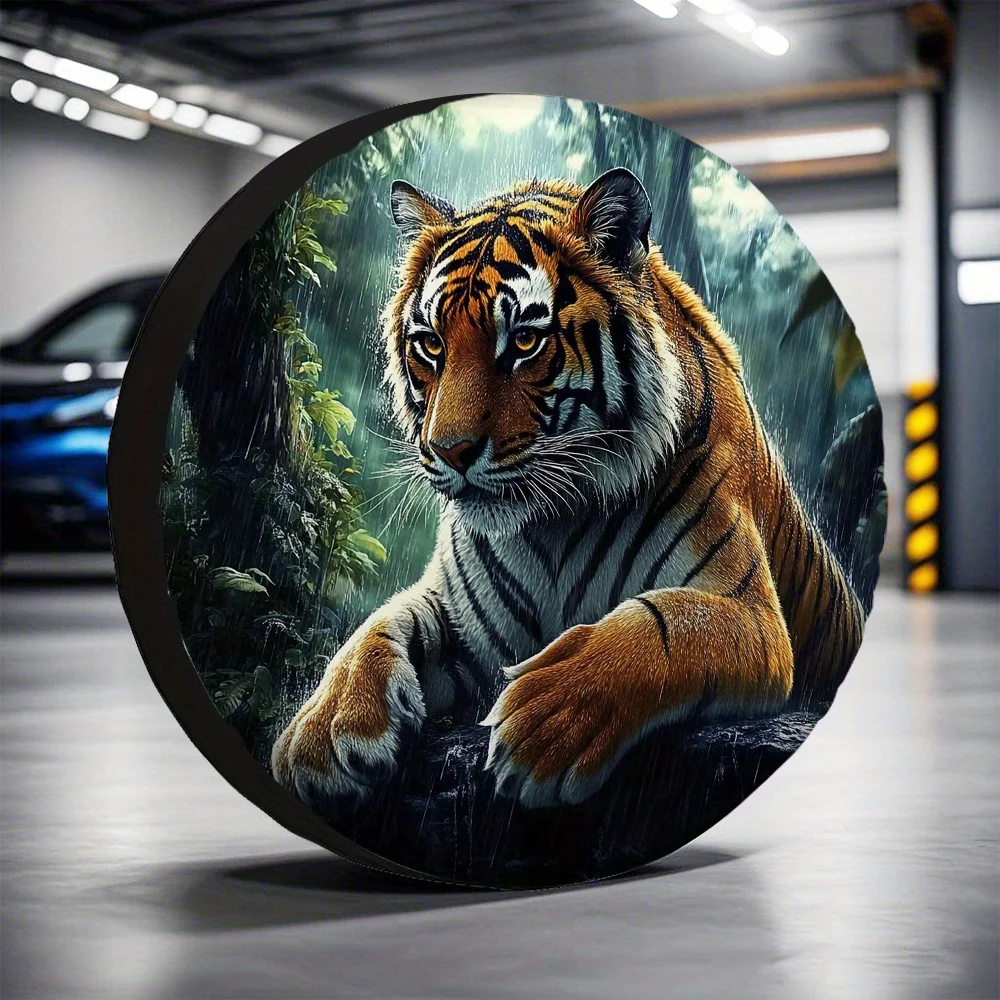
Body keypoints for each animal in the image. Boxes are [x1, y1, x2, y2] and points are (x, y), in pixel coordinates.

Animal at [272, 167, 866, 810]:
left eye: (523, 343)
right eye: (431, 344)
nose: (450, 450)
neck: (551, 524)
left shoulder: (751, 614)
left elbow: (662, 624)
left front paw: (548, 719)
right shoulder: (460, 619)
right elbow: (377, 625)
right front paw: (326, 727)